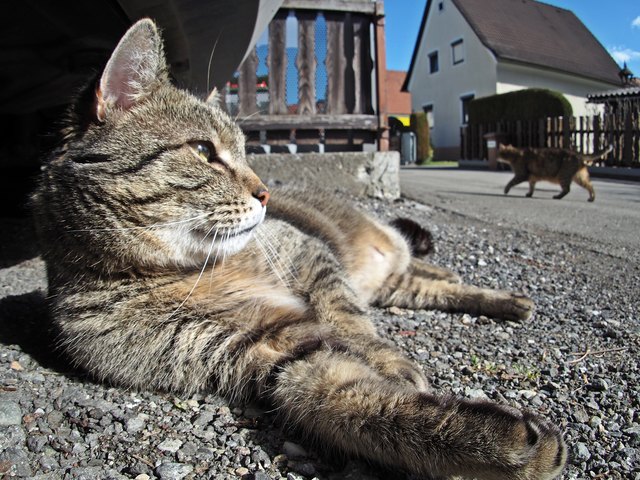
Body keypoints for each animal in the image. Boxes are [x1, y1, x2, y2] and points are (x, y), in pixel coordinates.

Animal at [32, 19, 568, 480]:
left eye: (246, 151)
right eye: (204, 152)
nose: (265, 192)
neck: (181, 271)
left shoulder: (310, 260)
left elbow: (350, 322)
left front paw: (387, 358)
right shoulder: (268, 349)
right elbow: (361, 405)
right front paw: (497, 445)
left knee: (421, 269)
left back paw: (496, 293)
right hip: (395, 289)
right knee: (427, 284)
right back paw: (497, 298)